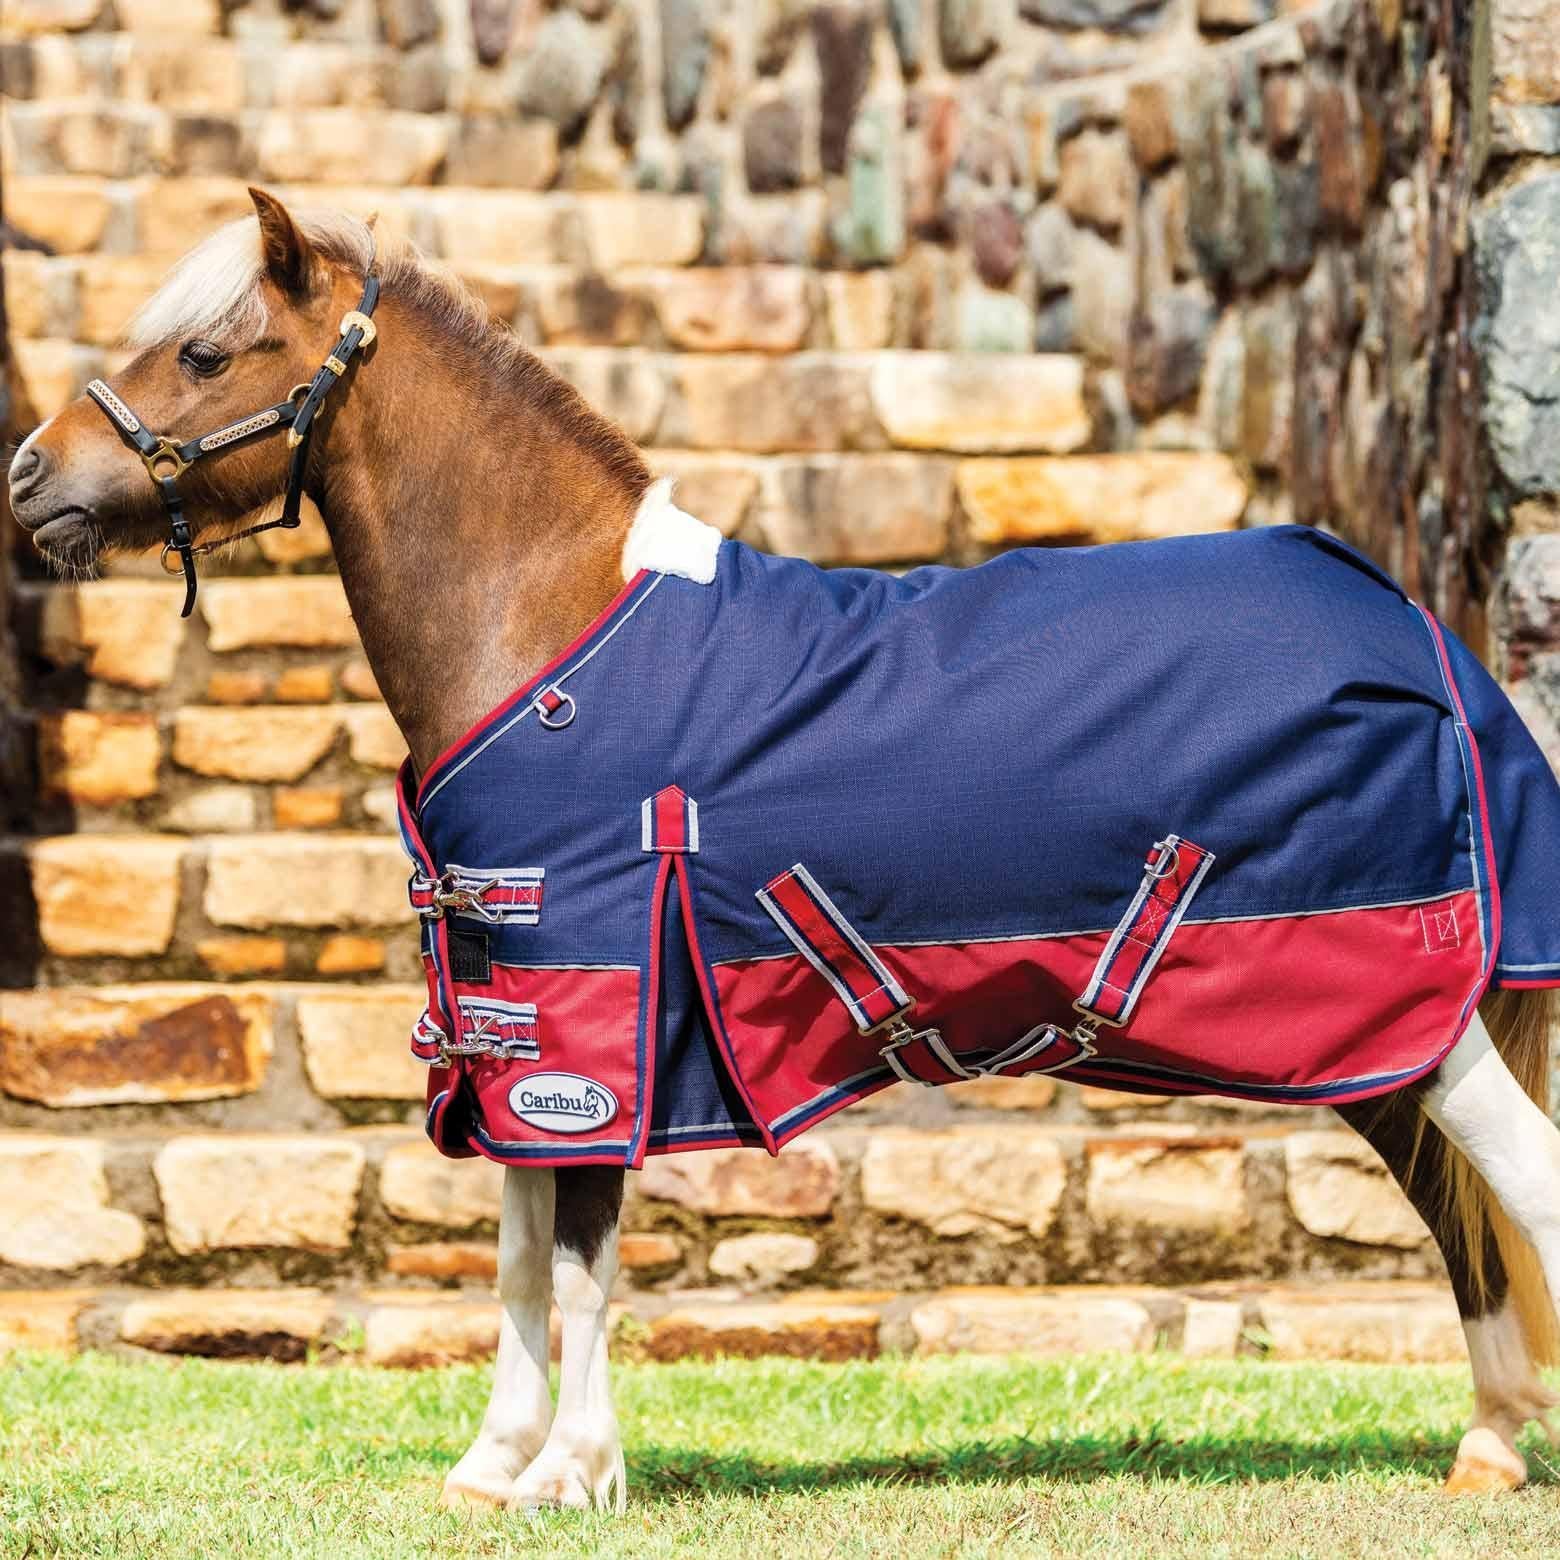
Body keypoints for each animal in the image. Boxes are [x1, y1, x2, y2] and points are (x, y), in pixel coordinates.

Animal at [10, 188, 1560, 1511]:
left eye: (204, 351)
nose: (30, 477)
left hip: (1401, 1002)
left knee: (1524, 1182)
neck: (554, 630)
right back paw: (1486, 1449)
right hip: (1370, 1041)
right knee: (1457, 1213)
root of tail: (1408, 627)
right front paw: (494, 1468)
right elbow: (516, 1258)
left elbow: (581, 1259)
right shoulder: (514, 1008)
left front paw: (571, 1474)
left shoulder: (597, 1004)